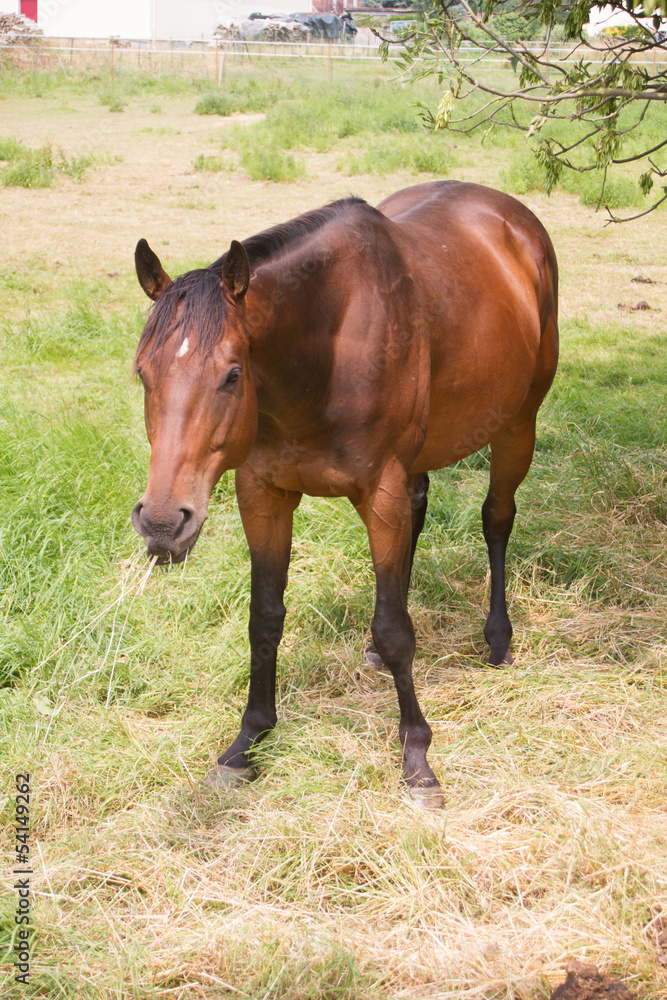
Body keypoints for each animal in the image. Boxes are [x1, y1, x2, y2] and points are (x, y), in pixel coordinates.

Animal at [131, 180, 559, 809]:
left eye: (233, 374)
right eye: (143, 373)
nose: (163, 523)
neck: (324, 355)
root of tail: (514, 217)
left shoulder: (379, 491)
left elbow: (396, 630)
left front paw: (417, 759)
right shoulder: (262, 494)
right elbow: (265, 618)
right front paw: (246, 744)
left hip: (517, 425)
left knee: (497, 519)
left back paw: (497, 639)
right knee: (420, 515)